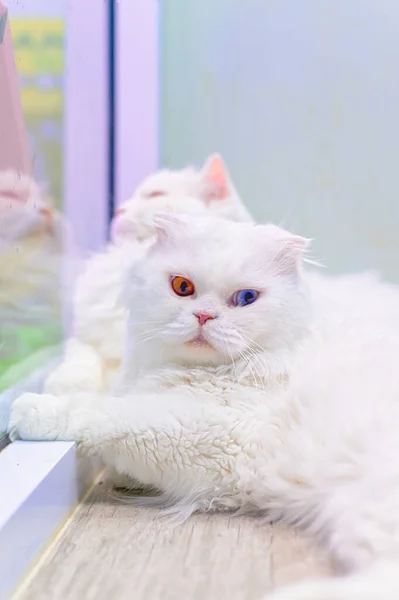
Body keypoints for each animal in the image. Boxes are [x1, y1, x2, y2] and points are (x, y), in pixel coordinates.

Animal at [9, 214, 399, 600]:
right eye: (182, 287)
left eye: (246, 298)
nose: (204, 316)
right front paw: (122, 477)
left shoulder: (208, 434)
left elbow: (106, 414)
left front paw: (30, 410)